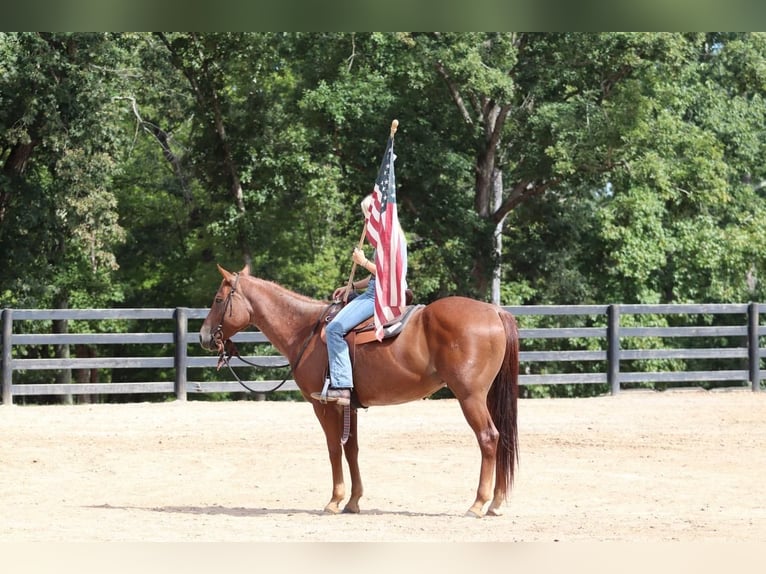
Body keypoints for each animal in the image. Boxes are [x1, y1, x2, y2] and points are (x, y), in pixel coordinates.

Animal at [198, 268, 520, 520]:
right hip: (486, 396)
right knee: (502, 438)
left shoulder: (323, 405)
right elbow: (351, 448)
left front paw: (334, 500)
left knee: (489, 438)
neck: (306, 331)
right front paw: (353, 501)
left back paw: (478, 504)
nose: (203, 336)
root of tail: (494, 310)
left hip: (470, 396)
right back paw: (496, 503)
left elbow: (333, 448)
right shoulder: (348, 405)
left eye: (217, 300)